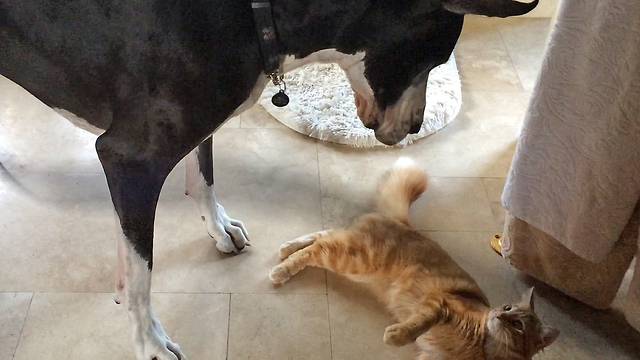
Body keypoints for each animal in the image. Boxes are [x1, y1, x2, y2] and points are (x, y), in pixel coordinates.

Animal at [268, 158, 556, 360]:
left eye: (518, 324)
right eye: (507, 308)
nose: (498, 314)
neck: (482, 347)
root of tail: (401, 221)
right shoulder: (440, 303)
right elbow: (418, 324)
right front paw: (397, 335)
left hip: (352, 255)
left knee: (323, 236)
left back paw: (286, 247)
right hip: (356, 258)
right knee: (315, 249)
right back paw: (281, 270)